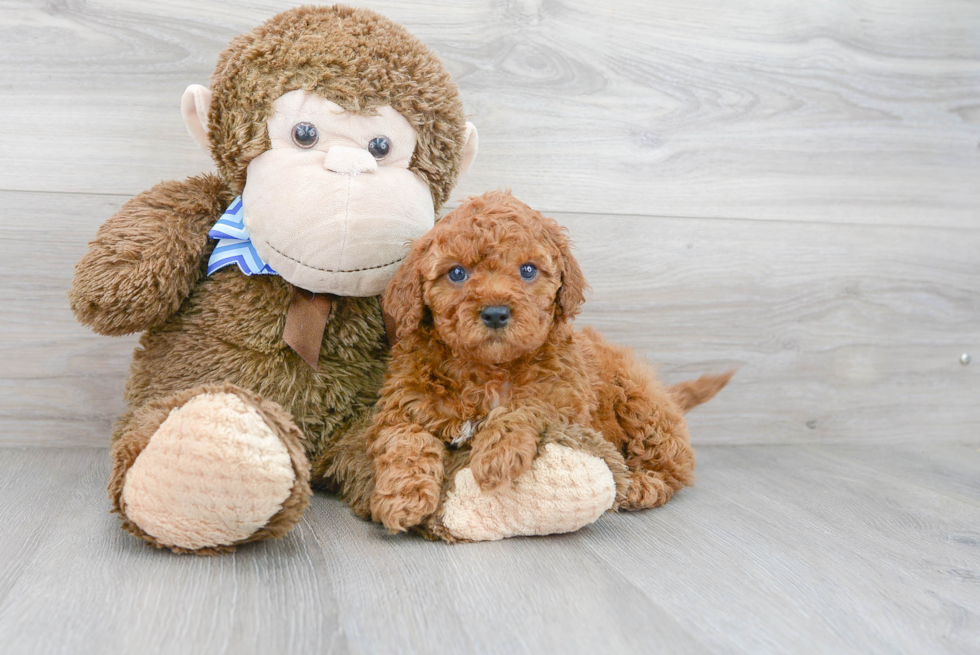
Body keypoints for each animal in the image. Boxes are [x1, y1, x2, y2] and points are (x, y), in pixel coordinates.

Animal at [366, 188, 728, 532]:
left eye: (528, 270)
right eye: (456, 273)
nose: (495, 313)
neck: (489, 369)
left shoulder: (564, 398)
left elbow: (524, 406)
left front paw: (497, 453)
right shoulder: (405, 405)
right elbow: (405, 442)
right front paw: (403, 497)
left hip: (642, 405)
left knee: (674, 464)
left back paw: (644, 484)